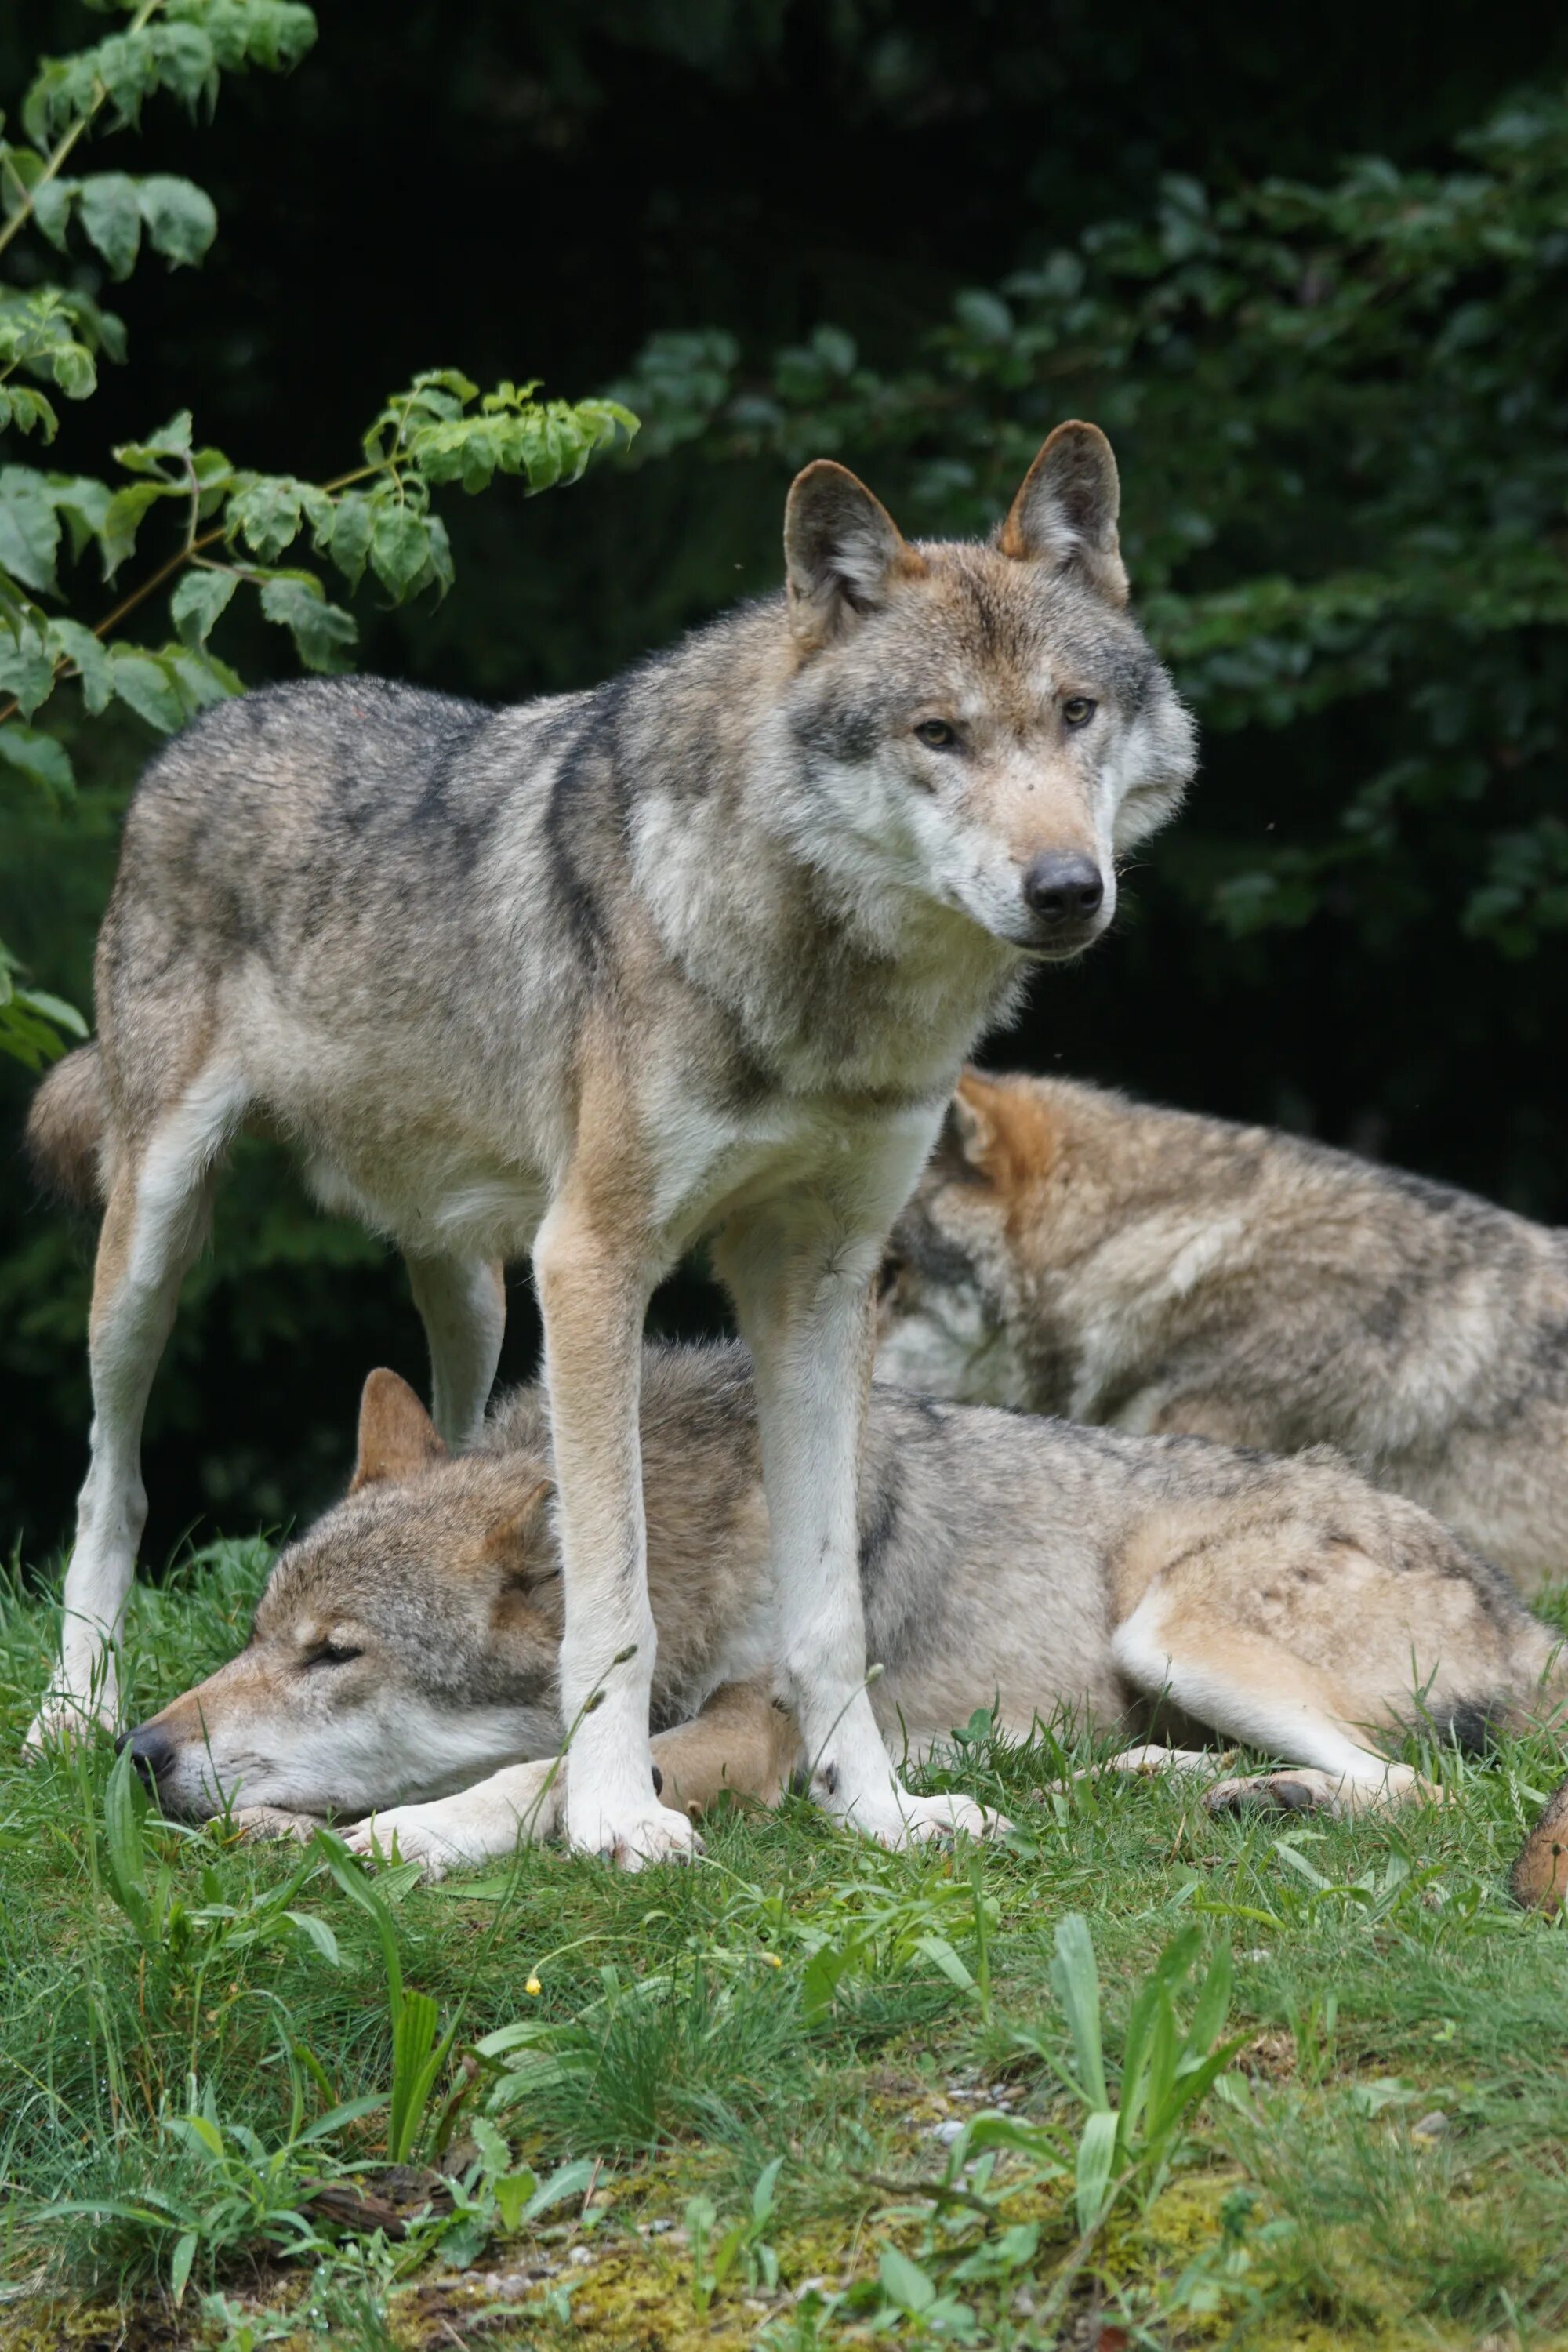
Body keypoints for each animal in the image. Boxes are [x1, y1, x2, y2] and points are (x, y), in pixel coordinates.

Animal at [24, 414, 1194, 1863]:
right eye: (939, 733)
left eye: (1075, 713)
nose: (1067, 889)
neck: (824, 988)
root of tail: (218, 716)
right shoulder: (592, 1263)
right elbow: (613, 1597)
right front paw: (611, 1816)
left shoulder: (819, 1286)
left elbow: (828, 1609)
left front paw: (875, 1808)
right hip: (156, 1237)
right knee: (110, 1479)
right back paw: (70, 1710)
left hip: (474, 1285)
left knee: (451, 1439)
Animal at [125, 1345, 1568, 1872]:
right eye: (256, 1640)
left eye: (335, 1657)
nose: (138, 1752)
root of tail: (1527, 1613)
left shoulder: (755, 1728)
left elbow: (540, 1780)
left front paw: (403, 1838)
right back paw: (1173, 1781)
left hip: (1168, 1620)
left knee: (1429, 1788)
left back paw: (1270, 1800)